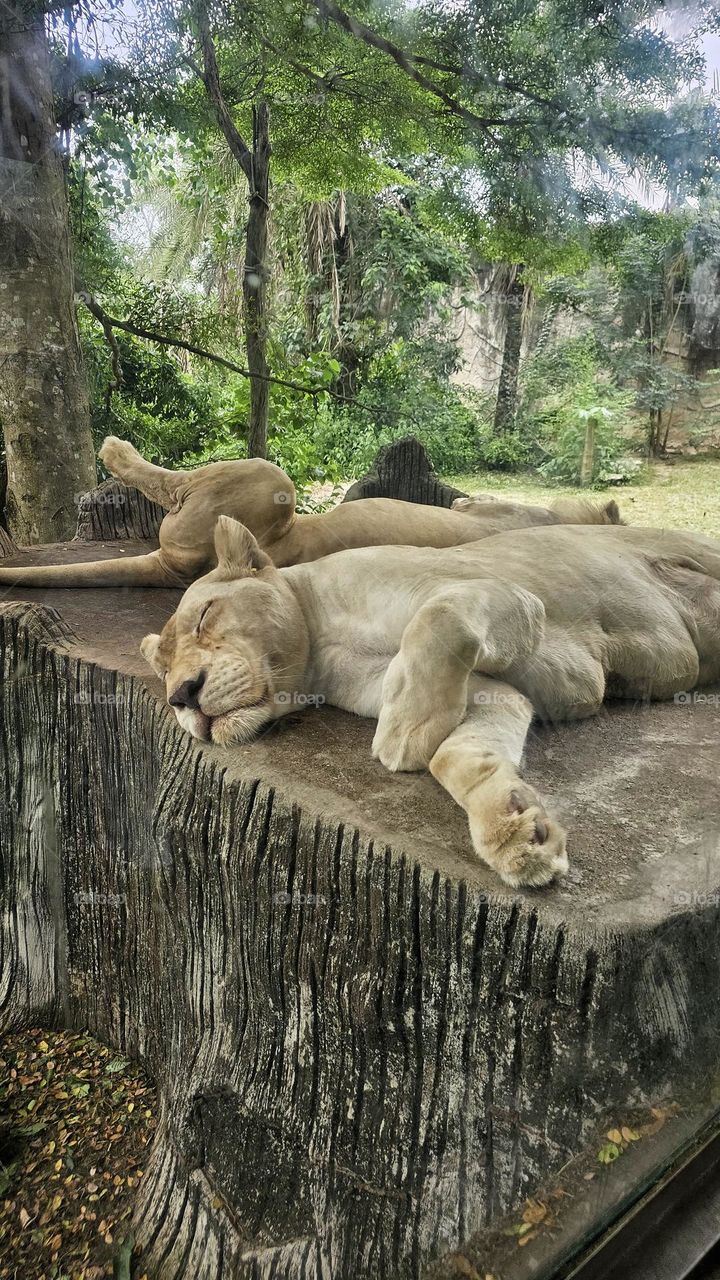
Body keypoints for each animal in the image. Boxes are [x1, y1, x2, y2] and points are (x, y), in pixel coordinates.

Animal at [140, 516, 720, 888]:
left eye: (206, 615)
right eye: (162, 669)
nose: (182, 695)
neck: (319, 645)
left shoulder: (504, 594)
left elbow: (438, 618)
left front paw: (406, 731)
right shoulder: (493, 692)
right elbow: (457, 755)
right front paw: (516, 828)